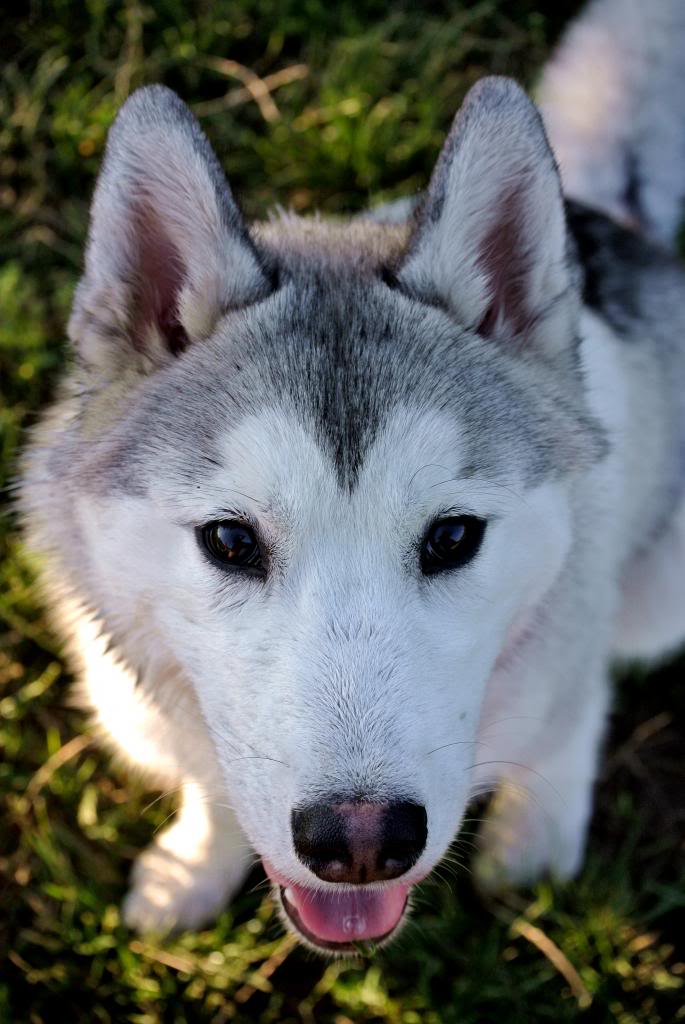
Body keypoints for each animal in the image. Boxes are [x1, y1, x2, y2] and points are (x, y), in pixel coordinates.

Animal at [20, 0, 683, 950]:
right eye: (230, 539)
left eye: (453, 536)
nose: (362, 842)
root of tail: (604, 217)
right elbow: (218, 797)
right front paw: (193, 867)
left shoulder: (567, 652)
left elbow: (568, 725)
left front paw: (533, 840)